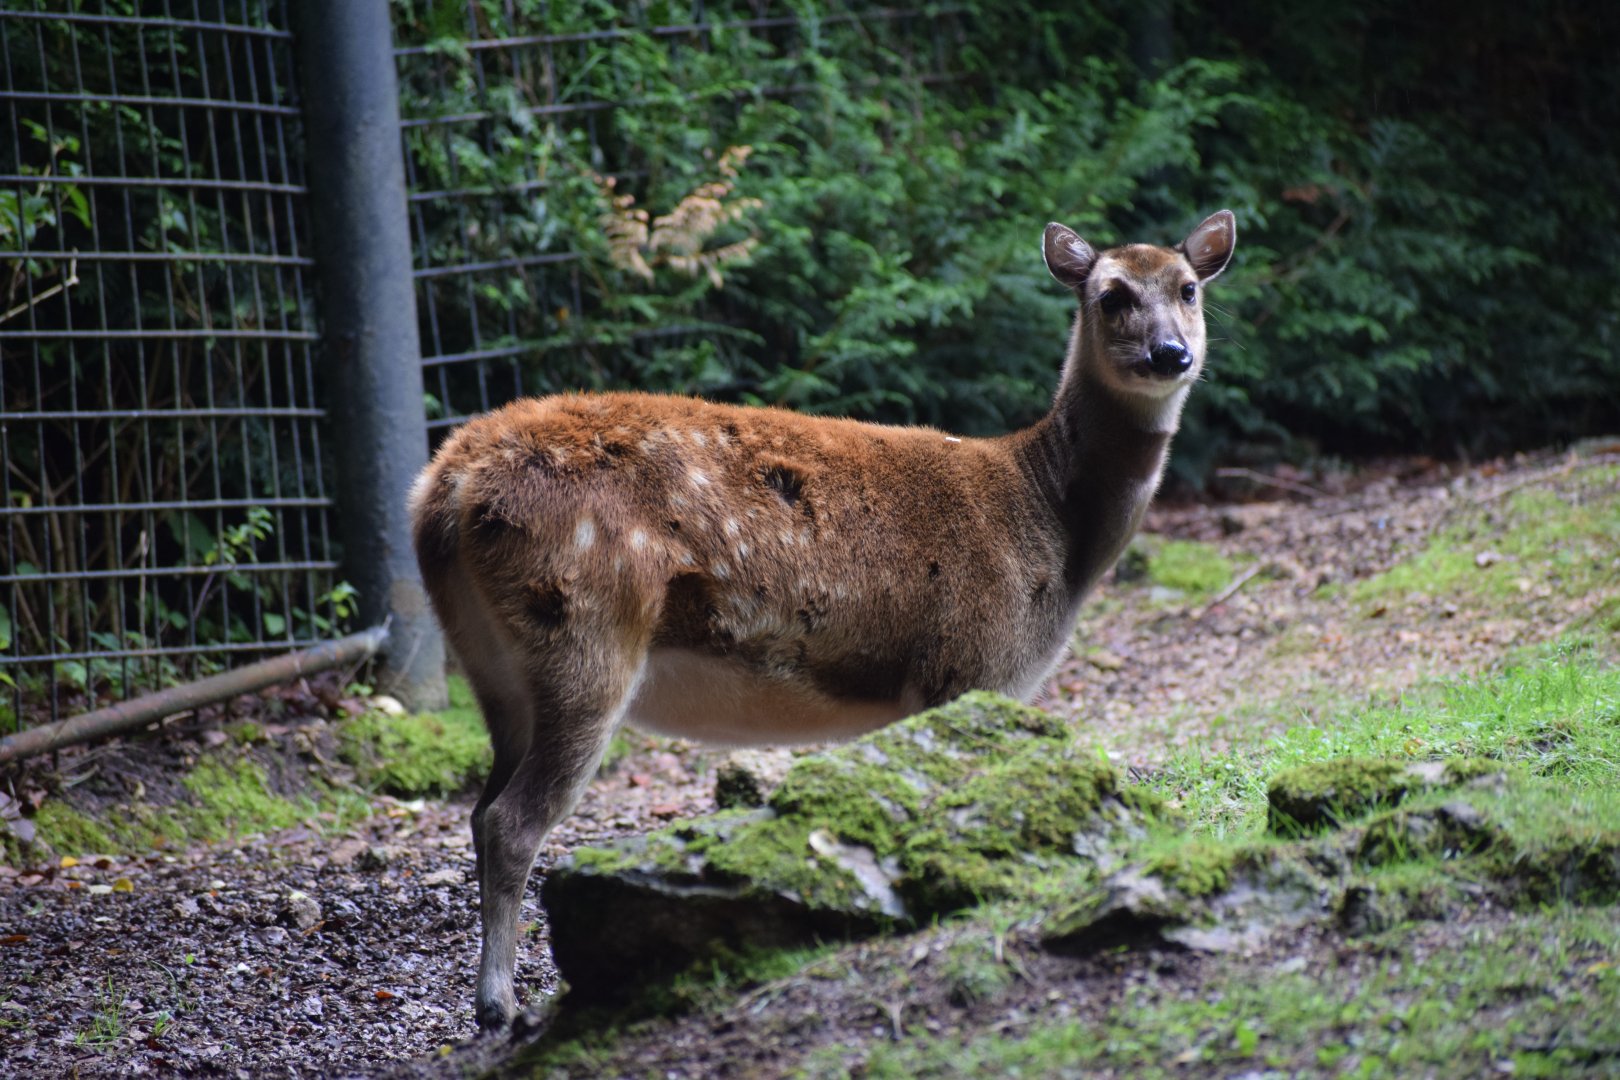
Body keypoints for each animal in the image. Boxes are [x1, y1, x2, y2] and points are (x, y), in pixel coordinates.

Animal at [409, 211, 1236, 1029]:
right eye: (1111, 295)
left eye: (1188, 288)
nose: (1171, 353)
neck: (1054, 531)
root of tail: (444, 490)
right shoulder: (970, 663)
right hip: (583, 629)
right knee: (512, 819)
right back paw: (499, 1005)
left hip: (492, 667)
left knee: (481, 809)